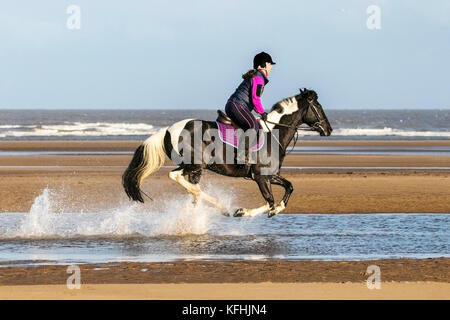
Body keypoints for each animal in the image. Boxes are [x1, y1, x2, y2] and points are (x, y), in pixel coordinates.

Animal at [121, 87, 332, 218]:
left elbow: (289, 187)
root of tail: (168, 130)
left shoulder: (271, 175)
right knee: (176, 176)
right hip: (195, 164)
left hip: (196, 169)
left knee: (191, 189)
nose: (328, 129)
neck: (273, 133)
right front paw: (243, 212)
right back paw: (218, 204)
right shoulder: (260, 177)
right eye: (318, 106)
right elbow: (269, 201)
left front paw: (277, 209)